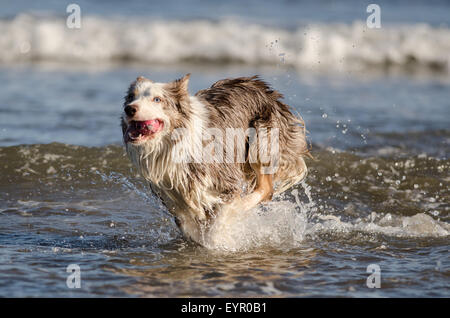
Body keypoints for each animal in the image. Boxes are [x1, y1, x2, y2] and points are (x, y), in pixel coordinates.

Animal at [120, 74, 310, 243]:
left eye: (157, 99)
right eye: (131, 97)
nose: (129, 109)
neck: (173, 143)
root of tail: (267, 90)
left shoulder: (225, 179)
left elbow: (216, 226)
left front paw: (217, 242)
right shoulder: (174, 197)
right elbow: (191, 227)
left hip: (261, 140)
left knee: (266, 189)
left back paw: (241, 207)